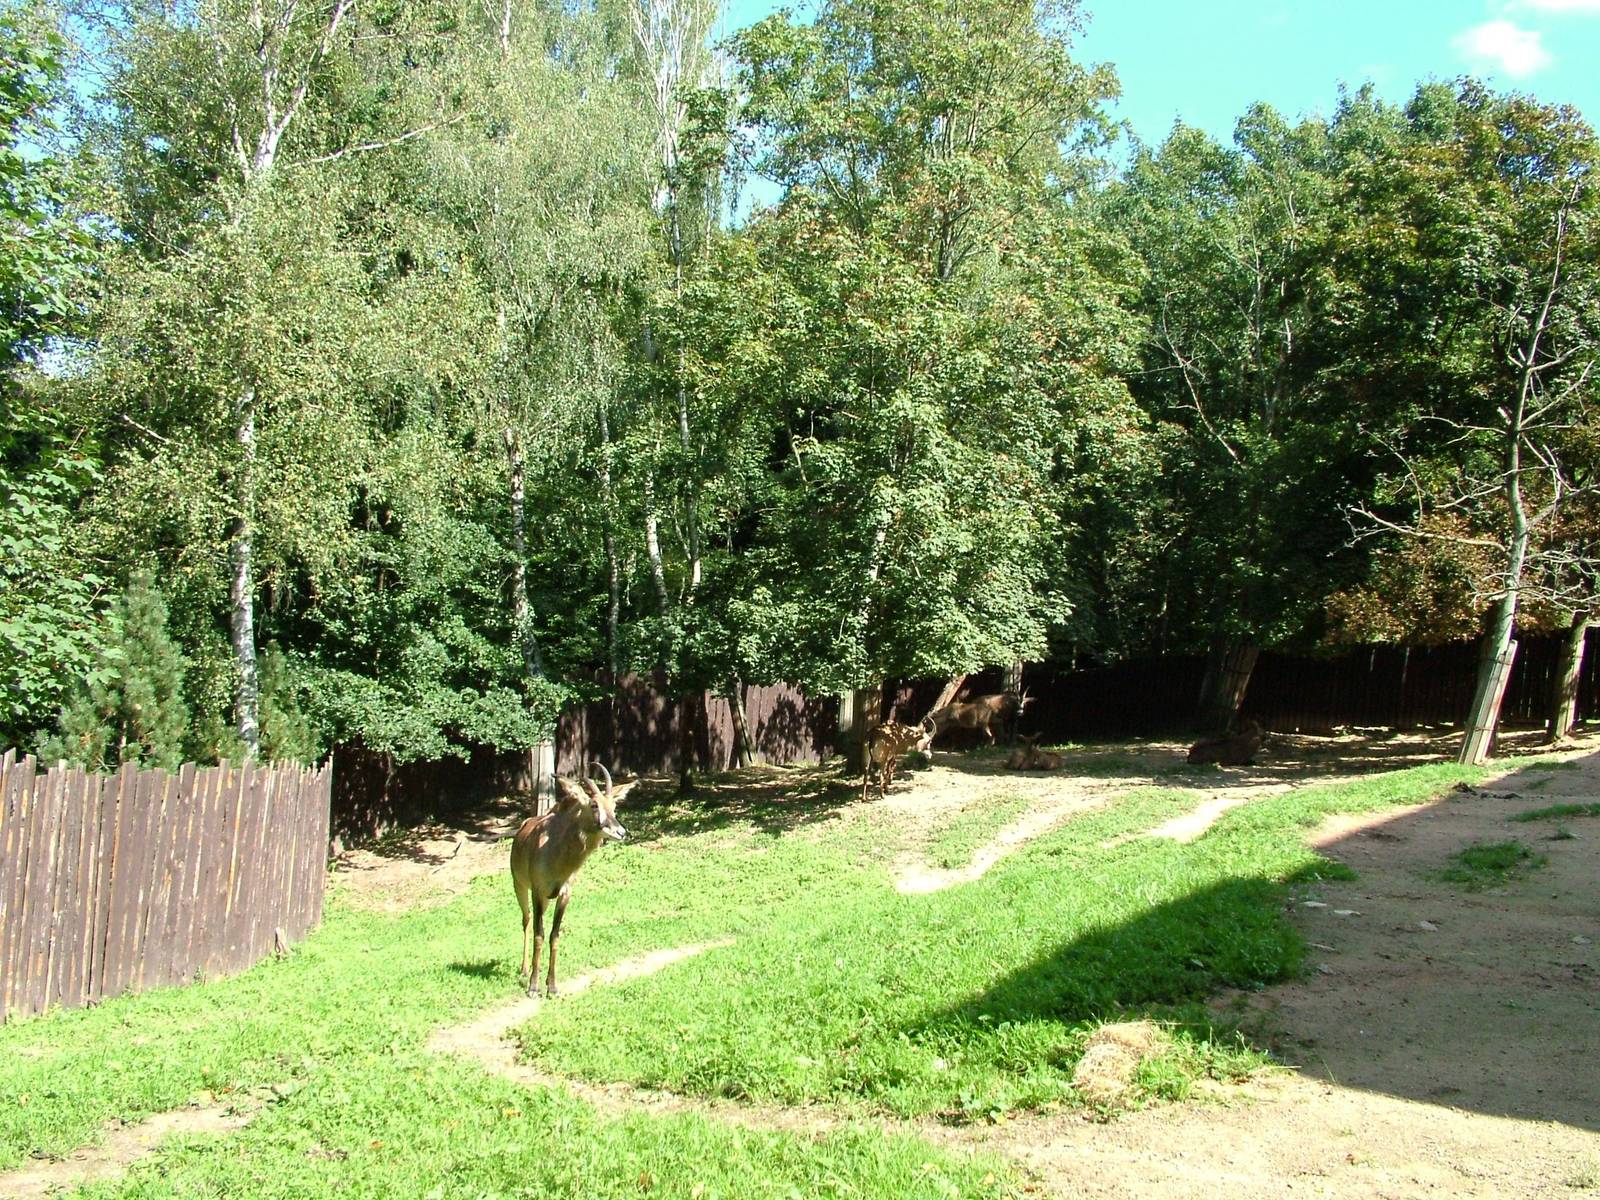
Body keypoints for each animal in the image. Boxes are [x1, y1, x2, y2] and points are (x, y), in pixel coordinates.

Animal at [510, 763, 637, 998]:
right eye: (594, 804)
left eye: (614, 805)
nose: (621, 832)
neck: (557, 853)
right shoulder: (538, 892)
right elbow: (539, 935)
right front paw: (533, 987)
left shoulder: (564, 894)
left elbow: (554, 935)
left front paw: (552, 986)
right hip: (520, 887)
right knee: (526, 920)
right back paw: (524, 970)